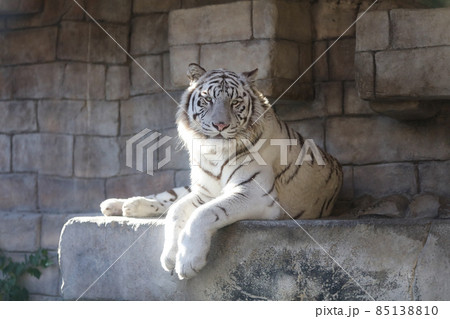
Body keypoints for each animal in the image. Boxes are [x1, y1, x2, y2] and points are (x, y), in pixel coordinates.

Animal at [101, 64, 342, 280]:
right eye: (207, 99)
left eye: (235, 102)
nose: (220, 125)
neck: (213, 153)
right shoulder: (203, 192)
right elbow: (176, 210)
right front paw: (169, 255)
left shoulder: (255, 194)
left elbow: (205, 213)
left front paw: (187, 261)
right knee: (167, 198)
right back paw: (119, 204)